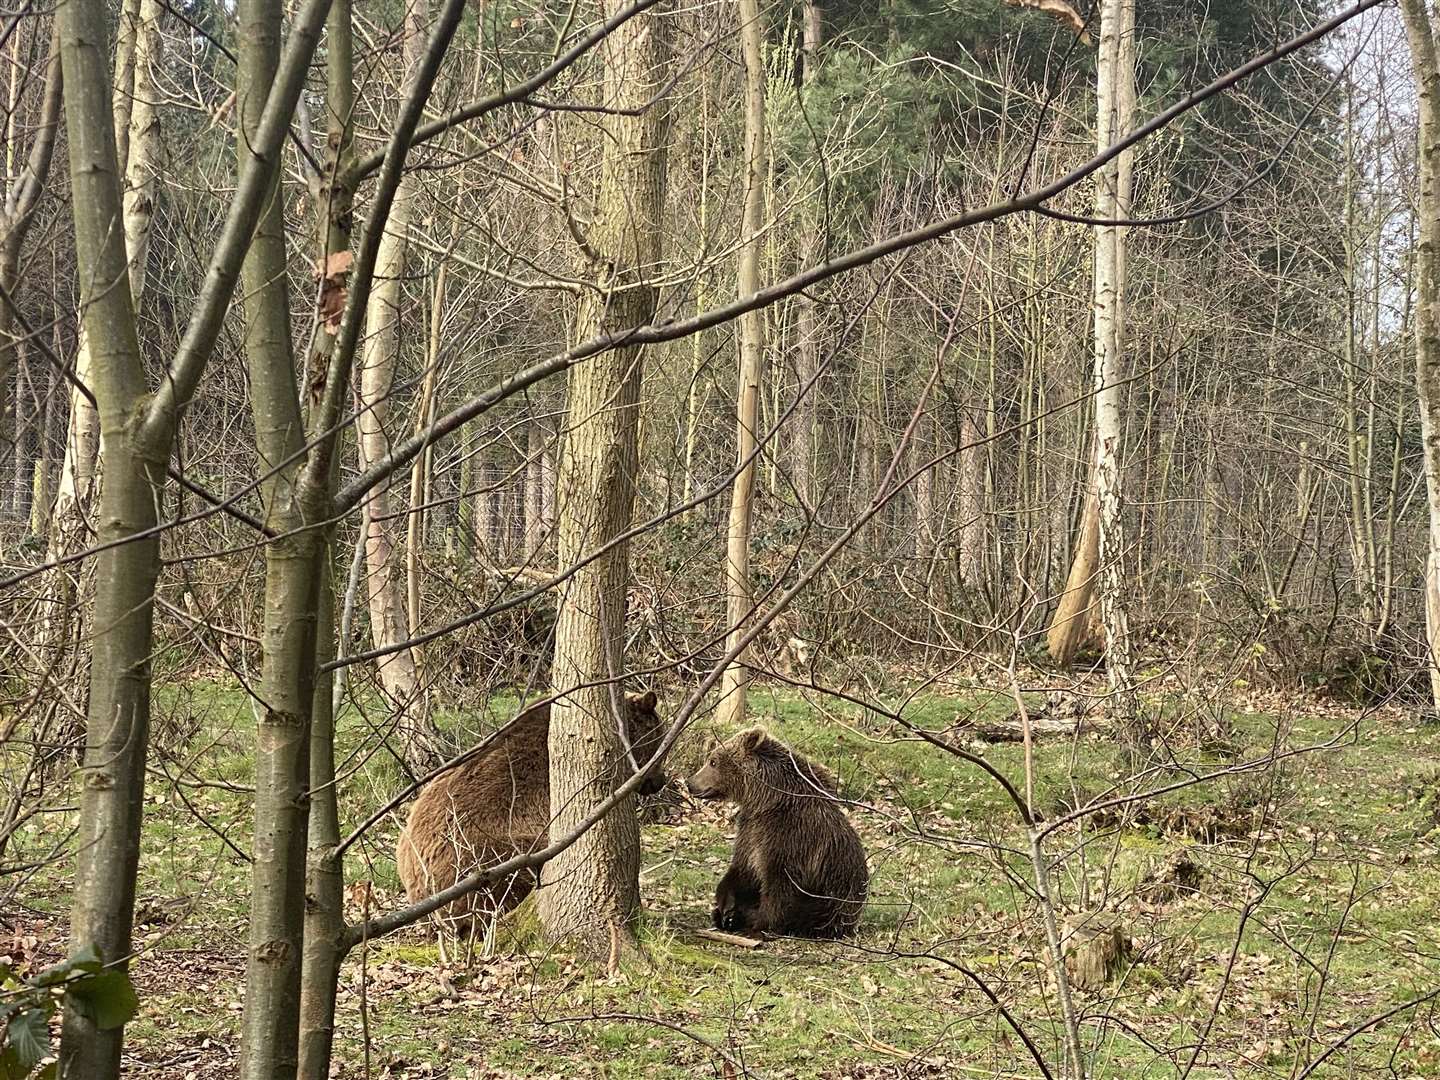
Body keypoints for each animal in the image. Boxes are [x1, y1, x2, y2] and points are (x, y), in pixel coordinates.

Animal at [685, 728, 864, 938]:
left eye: (713, 761)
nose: (690, 783)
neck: (767, 800)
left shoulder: (791, 835)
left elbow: (779, 884)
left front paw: (757, 922)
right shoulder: (751, 828)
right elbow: (744, 867)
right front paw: (724, 908)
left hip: (834, 899)